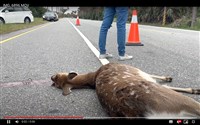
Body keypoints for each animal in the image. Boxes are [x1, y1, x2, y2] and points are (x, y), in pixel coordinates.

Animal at [51, 62, 200, 118]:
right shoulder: (135, 69)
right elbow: (156, 78)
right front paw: (169, 77)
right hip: (175, 100)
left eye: (57, 79)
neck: (93, 77)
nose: (51, 77)